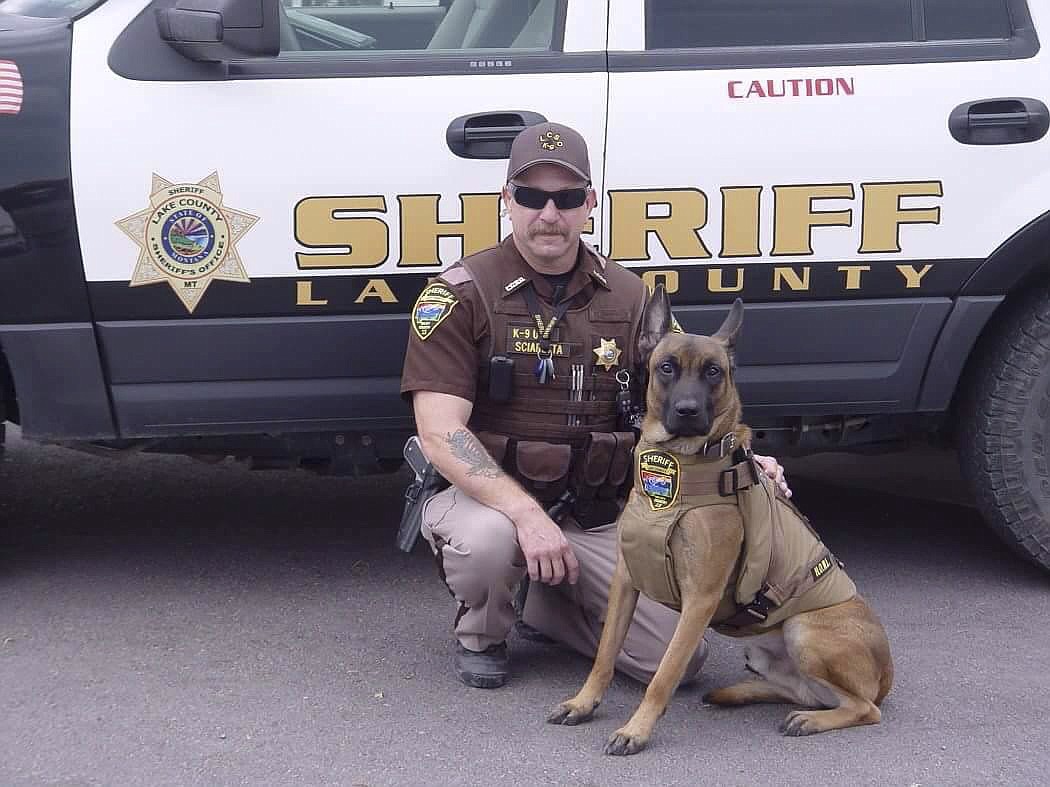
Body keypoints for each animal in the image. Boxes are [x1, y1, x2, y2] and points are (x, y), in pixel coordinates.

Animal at [550, 291, 894, 759]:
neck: (675, 469)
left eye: (713, 372)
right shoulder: (625, 581)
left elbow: (664, 674)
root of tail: (887, 671)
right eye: (667, 367)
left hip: (804, 630)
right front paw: (584, 702)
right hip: (763, 652)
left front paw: (637, 729)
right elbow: (604, 655)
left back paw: (811, 720)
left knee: (863, 708)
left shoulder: (700, 600)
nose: (688, 411)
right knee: (807, 692)